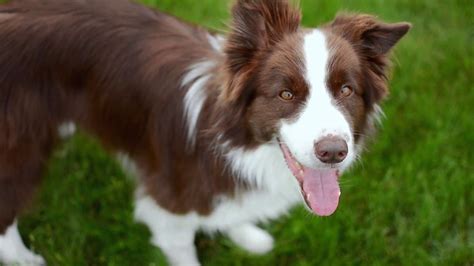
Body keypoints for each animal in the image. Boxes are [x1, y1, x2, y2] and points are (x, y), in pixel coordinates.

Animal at [0, 0, 410, 264]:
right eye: (286, 94)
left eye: (346, 90)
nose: (333, 152)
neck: (239, 141)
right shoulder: (168, 204)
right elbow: (183, 249)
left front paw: (245, 234)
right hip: (21, 148)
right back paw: (25, 259)